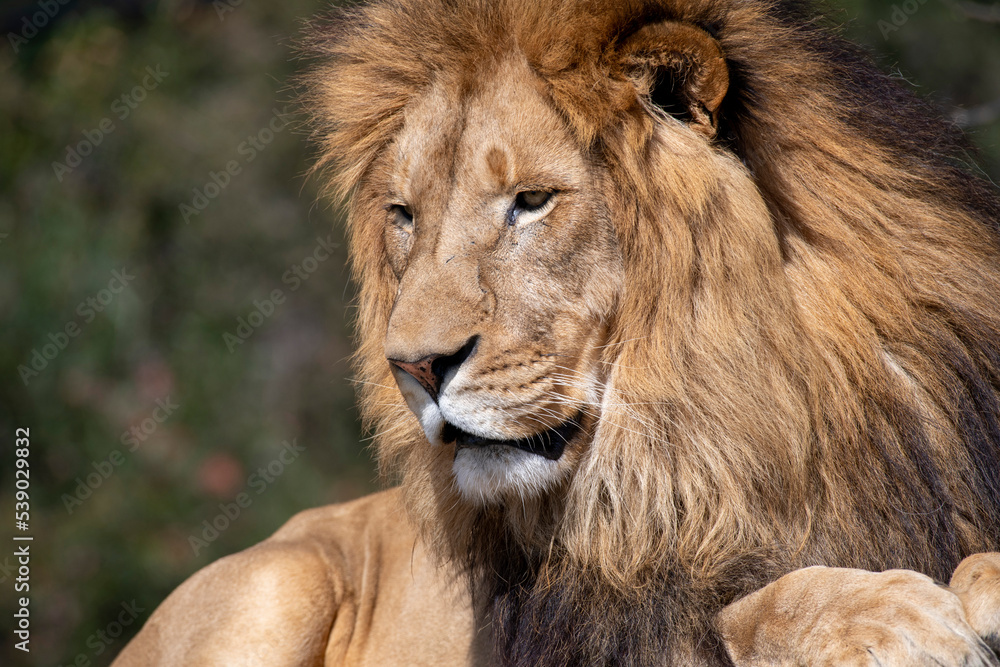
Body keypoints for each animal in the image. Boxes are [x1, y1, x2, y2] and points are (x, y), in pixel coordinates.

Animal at [109, 0, 1000, 664]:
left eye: (532, 202)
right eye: (404, 216)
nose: (413, 367)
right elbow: (739, 610)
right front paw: (889, 619)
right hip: (274, 587)